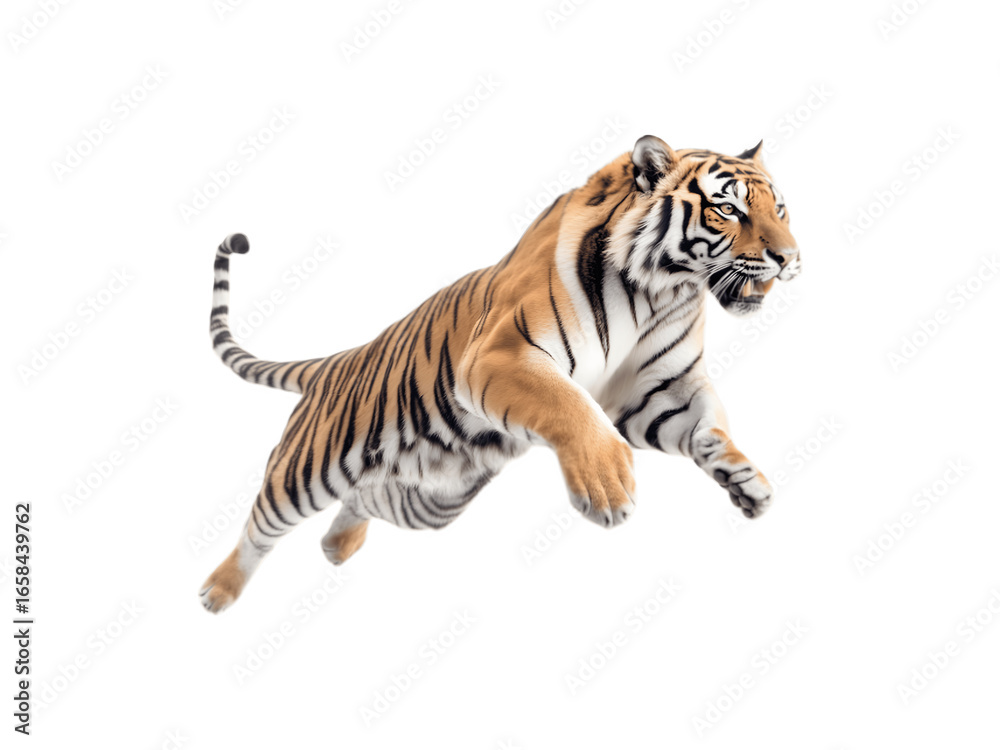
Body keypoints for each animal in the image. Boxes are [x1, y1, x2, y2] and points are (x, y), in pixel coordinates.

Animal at [199, 135, 801, 613]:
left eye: (781, 209)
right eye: (728, 209)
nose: (789, 258)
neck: (663, 292)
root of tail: (342, 357)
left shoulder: (653, 395)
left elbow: (709, 427)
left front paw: (745, 481)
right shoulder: (501, 354)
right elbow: (570, 407)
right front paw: (606, 486)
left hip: (431, 499)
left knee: (363, 497)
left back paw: (336, 545)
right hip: (306, 470)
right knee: (261, 525)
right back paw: (218, 591)